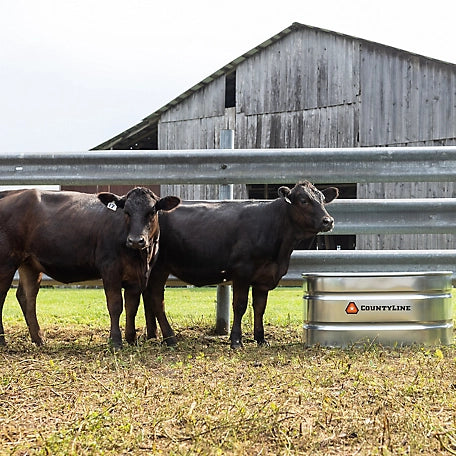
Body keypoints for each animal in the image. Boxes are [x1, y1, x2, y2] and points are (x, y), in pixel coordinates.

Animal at [0, 187, 180, 348]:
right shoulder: (110, 270)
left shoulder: (136, 277)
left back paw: (39, 339)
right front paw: (116, 341)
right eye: (126, 211)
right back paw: (3, 341)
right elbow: (115, 305)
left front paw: (131, 339)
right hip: (7, 262)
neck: (141, 258)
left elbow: (132, 307)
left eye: (152, 211)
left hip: (29, 264)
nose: (136, 240)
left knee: (27, 297)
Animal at [142, 180, 338, 348]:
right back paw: (170, 338)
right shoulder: (242, 272)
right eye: (304, 200)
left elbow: (259, 307)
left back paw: (153, 335)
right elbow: (240, 305)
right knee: (157, 300)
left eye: (323, 199)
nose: (328, 221)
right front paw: (236, 340)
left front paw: (261, 338)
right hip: (159, 268)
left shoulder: (264, 278)